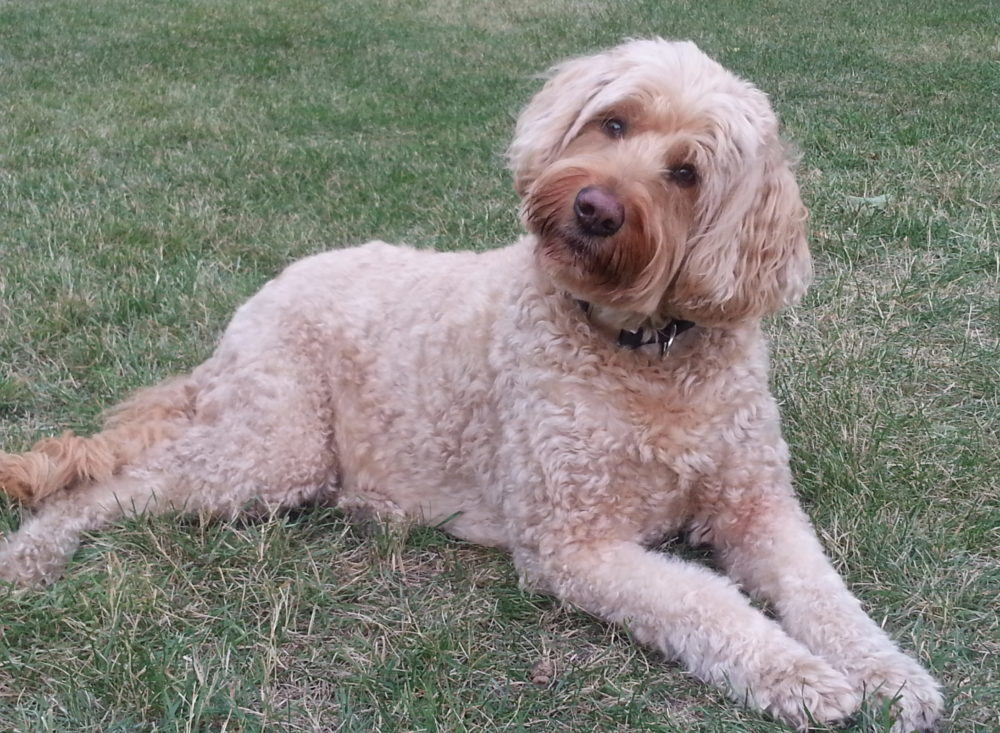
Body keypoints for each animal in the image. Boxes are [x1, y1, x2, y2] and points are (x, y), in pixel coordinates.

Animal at [0, 41, 940, 732]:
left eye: (687, 172)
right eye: (613, 122)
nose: (595, 206)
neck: (643, 354)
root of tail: (255, 303)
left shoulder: (758, 504)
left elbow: (824, 591)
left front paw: (889, 670)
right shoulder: (574, 541)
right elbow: (706, 600)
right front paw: (796, 672)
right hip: (272, 450)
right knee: (111, 485)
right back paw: (31, 554)